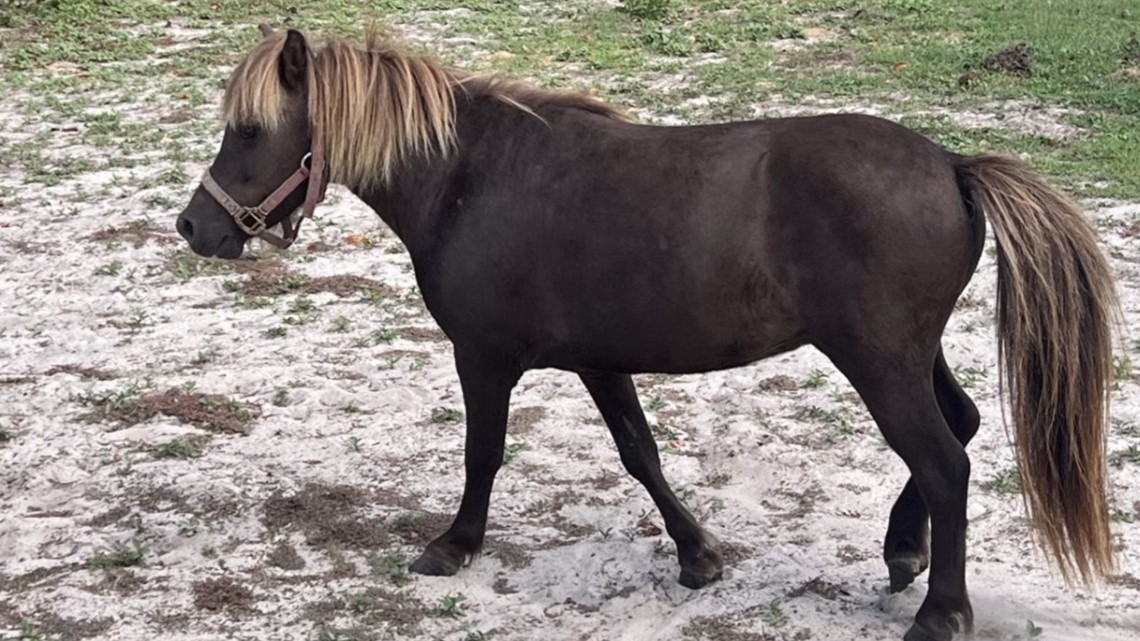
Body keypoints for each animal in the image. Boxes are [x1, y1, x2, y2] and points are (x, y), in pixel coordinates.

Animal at [174, 25, 1122, 641]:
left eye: (249, 130)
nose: (195, 227)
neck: (469, 180)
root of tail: (953, 165)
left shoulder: (483, 357)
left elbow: (483, 455)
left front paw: (454, 544)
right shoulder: (600, 361)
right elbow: (641, 453)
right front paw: (699, 556)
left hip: (880, 363)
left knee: (945, 460)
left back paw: (940, 611)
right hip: (911, 356)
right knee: (958, 430)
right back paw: (902, 550)